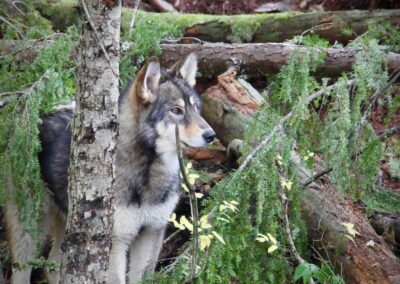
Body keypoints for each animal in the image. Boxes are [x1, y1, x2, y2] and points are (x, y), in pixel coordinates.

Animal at [3, 53, 216, 284]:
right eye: (176, 111)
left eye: (195, 108)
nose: (211, 135)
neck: (147, 175)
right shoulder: (115, 242)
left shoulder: (151, 233)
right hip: (30, 230)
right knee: (21, 270)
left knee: (52, 265)